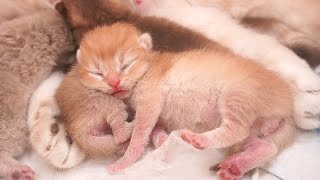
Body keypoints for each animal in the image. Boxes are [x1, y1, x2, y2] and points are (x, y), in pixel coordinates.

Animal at [78, 23, 298, 180]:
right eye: (97, 73)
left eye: (125, 65)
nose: (114, 82)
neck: (146, 71)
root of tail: (288, 109)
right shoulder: (156, 114)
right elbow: (154, 130)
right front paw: (163, 142)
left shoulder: (150, 102)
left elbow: (139, 135)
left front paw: (125, 161)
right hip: (251, 127)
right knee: (265, 147)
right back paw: (236, 165)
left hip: (237, 95)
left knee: (236, 129)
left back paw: (199, 140)